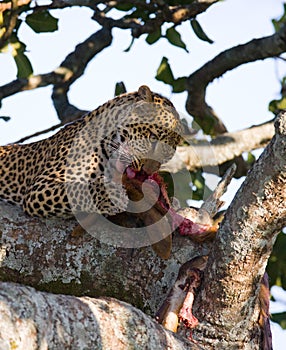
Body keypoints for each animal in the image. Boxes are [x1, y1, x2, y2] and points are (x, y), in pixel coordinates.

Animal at [0, 85, 183, 219]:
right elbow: (79, 188)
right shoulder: (41, 186)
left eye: (166, 156)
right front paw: (111, 196)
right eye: (152, 138)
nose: (146, 172)